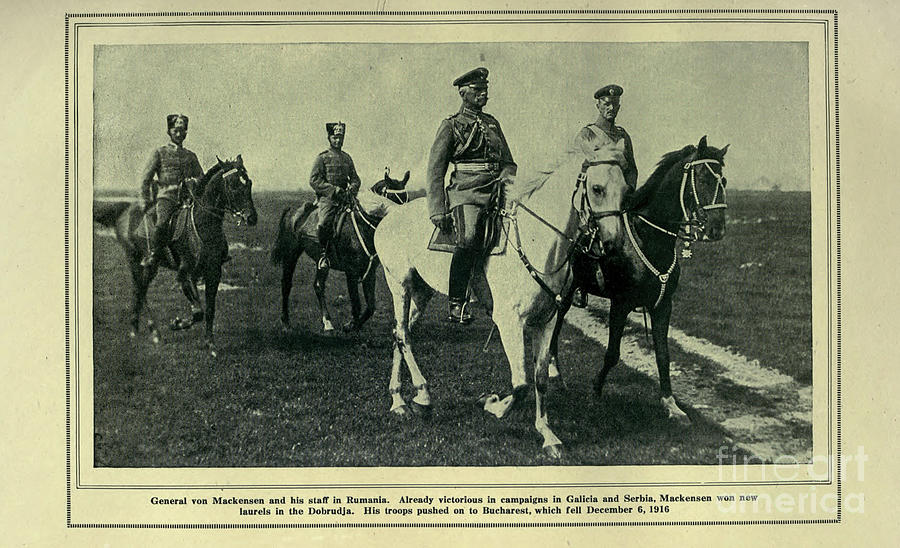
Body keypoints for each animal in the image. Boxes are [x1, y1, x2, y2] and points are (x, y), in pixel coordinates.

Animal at [92, 156, 256, 358]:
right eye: (233, 185)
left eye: (249, 183)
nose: (252, 218)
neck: (203, 224)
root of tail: (125, 210)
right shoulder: (184, 273)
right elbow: (198, 312)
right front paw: (177, 323)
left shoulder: (213, 273)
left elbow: (209, 310)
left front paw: (210, 345)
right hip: (135, 259)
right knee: (140, 290)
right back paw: (150, 331)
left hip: (151, 267)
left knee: (140, 289)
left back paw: (140, 329)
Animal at [270, 168, 414, 330]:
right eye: (393, 198)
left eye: (406, 199)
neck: (363, 225)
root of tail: (292, 211)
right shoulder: (351, 273)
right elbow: (356, 304)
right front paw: (352, 326)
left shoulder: (370, 272)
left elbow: (371, 306)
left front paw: (353, 325)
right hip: (291, 254)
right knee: (286, 283)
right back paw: (286, 321)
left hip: (321, 262)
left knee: (318, 285)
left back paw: (327, 321)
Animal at [372, 152, 624, 456]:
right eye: (597, 189)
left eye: (626, 190)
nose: (614, 244)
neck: (539, 243)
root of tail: (390, 215)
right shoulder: (509, 322)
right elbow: (521, 384)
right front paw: (492, 404)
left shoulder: (546, 321)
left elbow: (540, 378)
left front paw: (548, 435)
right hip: (399, 284)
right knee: (404, 335)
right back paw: (420, 396)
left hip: (421, 292)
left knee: (399, 334)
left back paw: (401, 399)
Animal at [548, 136, 732, 420]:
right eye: (701, 178)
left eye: (723, 180)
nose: (717, 228)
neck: (649, 238)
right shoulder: (620, 304)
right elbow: (612, 353)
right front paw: (595, 391)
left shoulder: (663, 306)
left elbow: (663, 355)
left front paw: (670, 403)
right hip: (568, 287)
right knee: (558, 318)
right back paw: (553, 367)